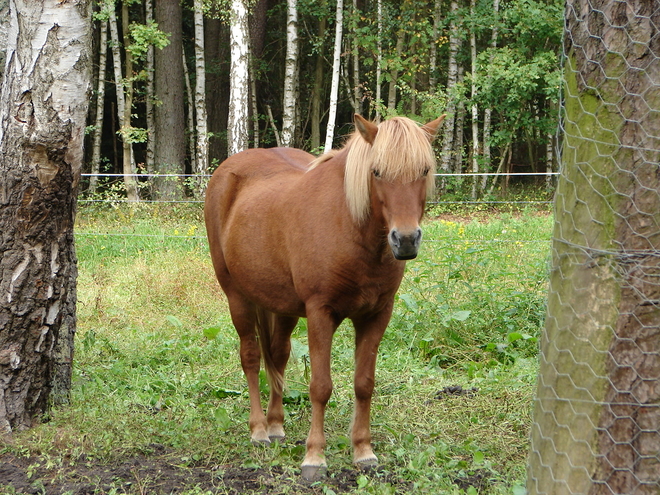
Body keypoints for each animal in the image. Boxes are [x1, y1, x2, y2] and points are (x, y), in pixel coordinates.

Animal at [204, 113, 446, 480]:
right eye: (376, 172)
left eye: (424, 170)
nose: (405, 240)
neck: (348, 226)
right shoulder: (320, 313)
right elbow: (320, 386)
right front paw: (314, 457)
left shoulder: (377, 315)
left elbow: (364, 384)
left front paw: (363, 450)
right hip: (237, 297)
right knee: (251, 357)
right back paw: (259, 429)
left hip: (282, 307)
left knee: (278, 355)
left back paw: (276, 425)